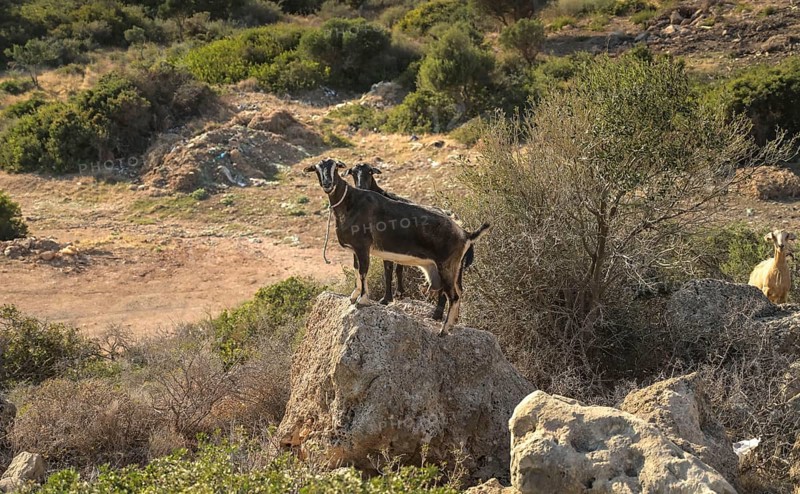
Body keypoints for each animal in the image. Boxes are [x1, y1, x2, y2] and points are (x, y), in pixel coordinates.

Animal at [305, 158, 489, 334]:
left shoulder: (362, 246)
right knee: (459, 292)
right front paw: (354, 296)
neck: (350, 202)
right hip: (456, 269)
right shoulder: (355, 250)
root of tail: (466, 234)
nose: (327, 183)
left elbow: (364, 271)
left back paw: (443, 330)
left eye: (335, 167)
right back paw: (452, 325)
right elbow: (357, 270)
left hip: (447, 266)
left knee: (453, 296)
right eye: (316, 168)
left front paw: (362, 300)